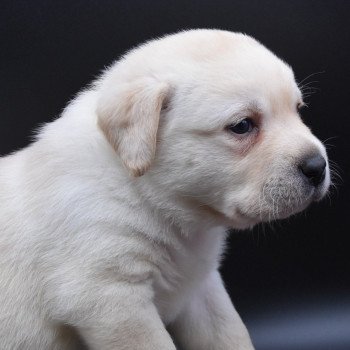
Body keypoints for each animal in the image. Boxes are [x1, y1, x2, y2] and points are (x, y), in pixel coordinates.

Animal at [0, 30, 330, 350]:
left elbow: (231, 333)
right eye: (242, 125)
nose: (317, 166)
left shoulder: (201, 289)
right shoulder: (110, 296)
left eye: (298, 110)